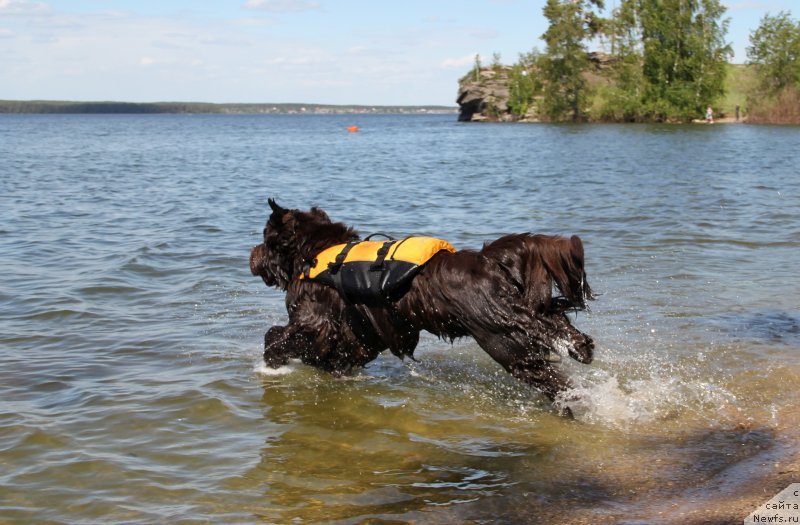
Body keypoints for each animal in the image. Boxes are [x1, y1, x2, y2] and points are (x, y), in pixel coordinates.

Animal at [250, 199, 592, 404]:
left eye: (266, 239)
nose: (252, 255)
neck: (316, 253)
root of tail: (487, 258)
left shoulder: (316, 320)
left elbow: (278, 335)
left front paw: (271, 364)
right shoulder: (359, 333)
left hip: (500, 332)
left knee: (543, 362)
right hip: (517, 312)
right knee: (556, 323)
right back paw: (582, 349)